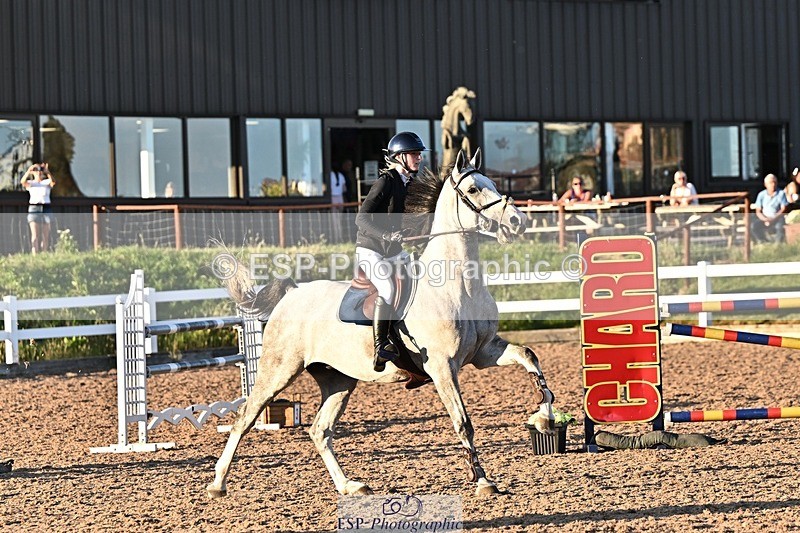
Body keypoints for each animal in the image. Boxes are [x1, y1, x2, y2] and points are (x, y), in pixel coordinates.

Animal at [206, 149, 555, 498]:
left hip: (338, 380)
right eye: (473, 190)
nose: (518, 221)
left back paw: (349, 485)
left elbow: (529, 357)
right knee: (245, 418)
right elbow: (463, 422)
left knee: (320, 430)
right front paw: (483, 480)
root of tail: (292, 293)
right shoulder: (443, 367)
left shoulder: (484, 353)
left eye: (493, 184)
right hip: (279, 371)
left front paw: (545, 417)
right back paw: (218, 483)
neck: (457, 286)